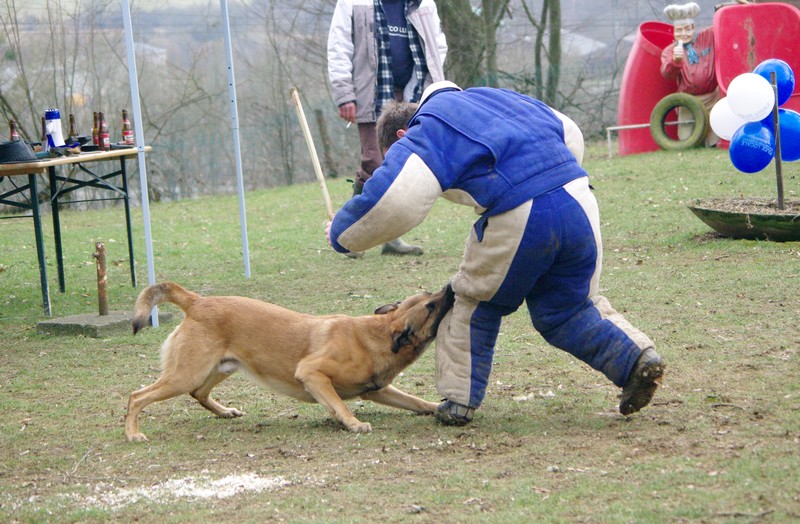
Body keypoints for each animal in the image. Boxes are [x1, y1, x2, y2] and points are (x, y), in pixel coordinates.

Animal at [124, 280, 450, 440]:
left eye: (428, 295)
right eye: (431, 306)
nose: (449, 287)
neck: (376, 334)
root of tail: (198, 301)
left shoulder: (378, 389)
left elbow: (416, 402)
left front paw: (437, 407)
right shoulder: (312, 374)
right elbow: (339, 404)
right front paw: (354, 424)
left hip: (220, 368)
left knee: (198, 393)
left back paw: (225, 412)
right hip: (186, 374)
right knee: (137, 396)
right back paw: (133, 433)